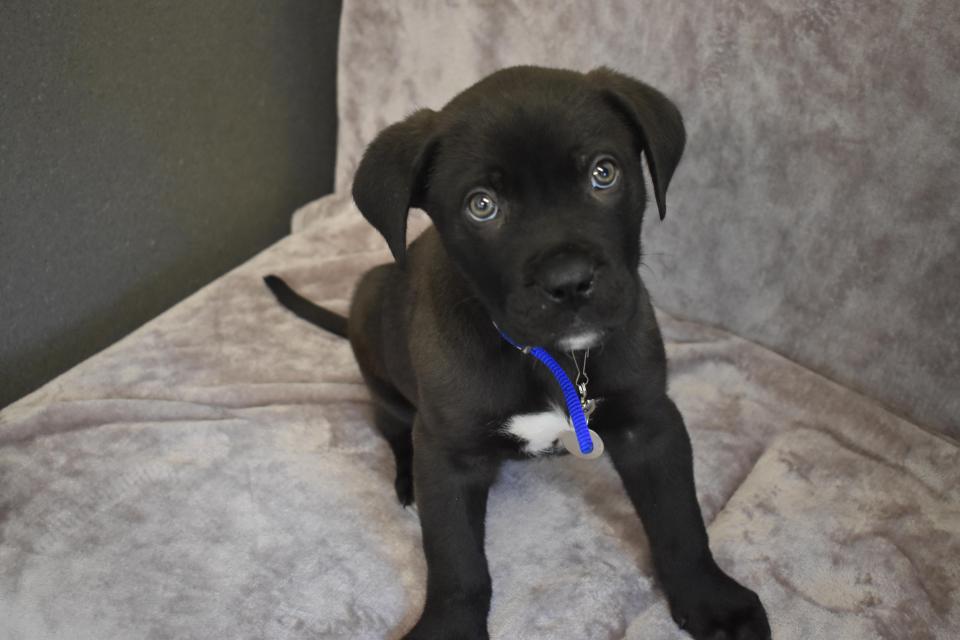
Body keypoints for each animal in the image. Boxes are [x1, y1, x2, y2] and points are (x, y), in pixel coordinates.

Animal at [264, 66, 772, 640]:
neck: (550, 357)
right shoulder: (447, 455)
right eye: (481, 205)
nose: (569, 282)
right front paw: (450, 627)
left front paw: (711, 600)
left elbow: (679, 521)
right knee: (393, 425)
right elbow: (456, 560)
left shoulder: (650, 422)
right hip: (372, 311)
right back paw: (405, 476)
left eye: (603, 173)